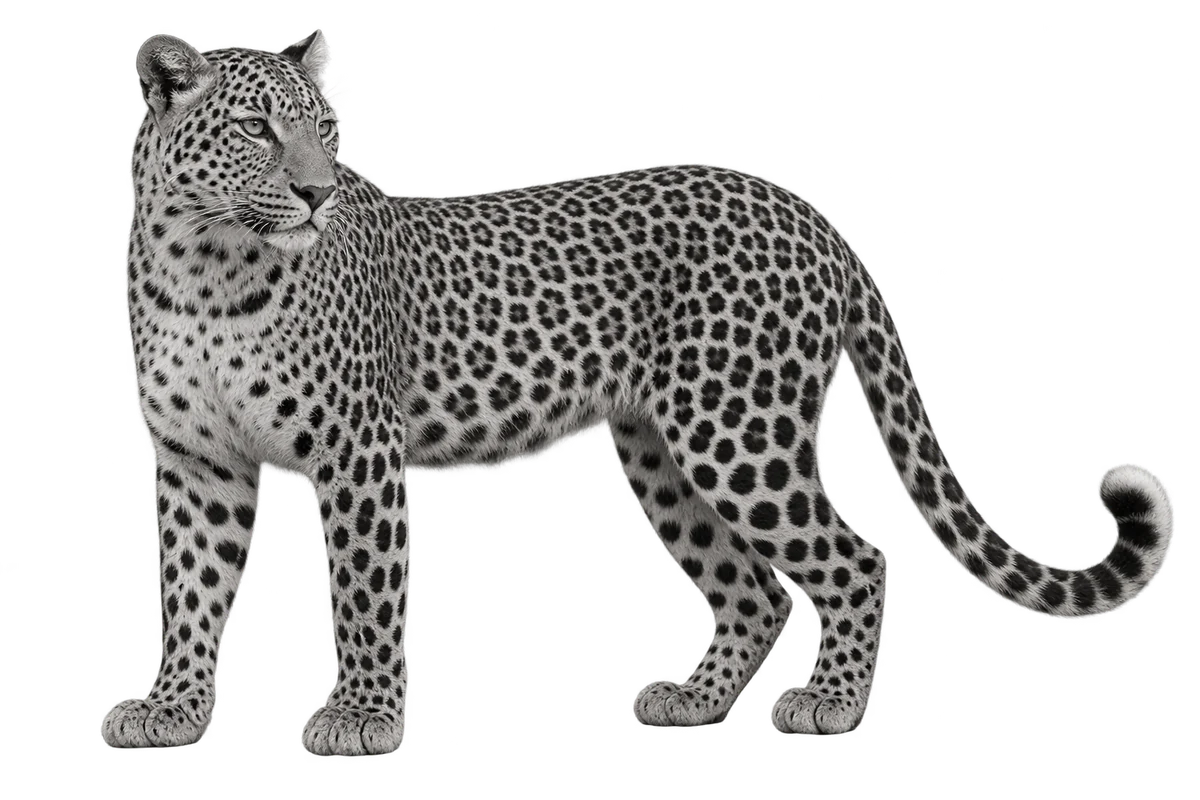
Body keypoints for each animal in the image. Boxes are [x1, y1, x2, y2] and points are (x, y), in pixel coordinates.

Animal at [104, 28, 1177, 756]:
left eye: (326, 129)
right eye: (256, 128)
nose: (319, 191)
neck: (203, 267)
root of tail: (813, 214)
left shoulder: (357, 450)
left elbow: (363, 590)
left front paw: (359, 716)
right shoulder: (196, 465)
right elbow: (190, 590)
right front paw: (172, 709)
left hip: (739, 432)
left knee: (856, 560)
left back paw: (831, 704)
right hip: (664, 454)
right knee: (755, 594)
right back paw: (694, 701)